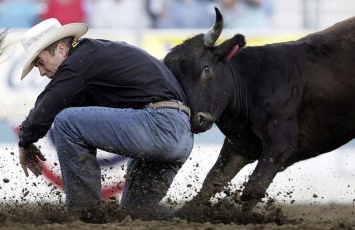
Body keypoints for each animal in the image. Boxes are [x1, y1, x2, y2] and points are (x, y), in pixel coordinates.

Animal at [164, 6, 355, 212]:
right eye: (175, 80)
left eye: (206, 68)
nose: (196, 119)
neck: (253, 83)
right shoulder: (240, 143)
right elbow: (213, 180)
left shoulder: (281, 144)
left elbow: (254, 186)